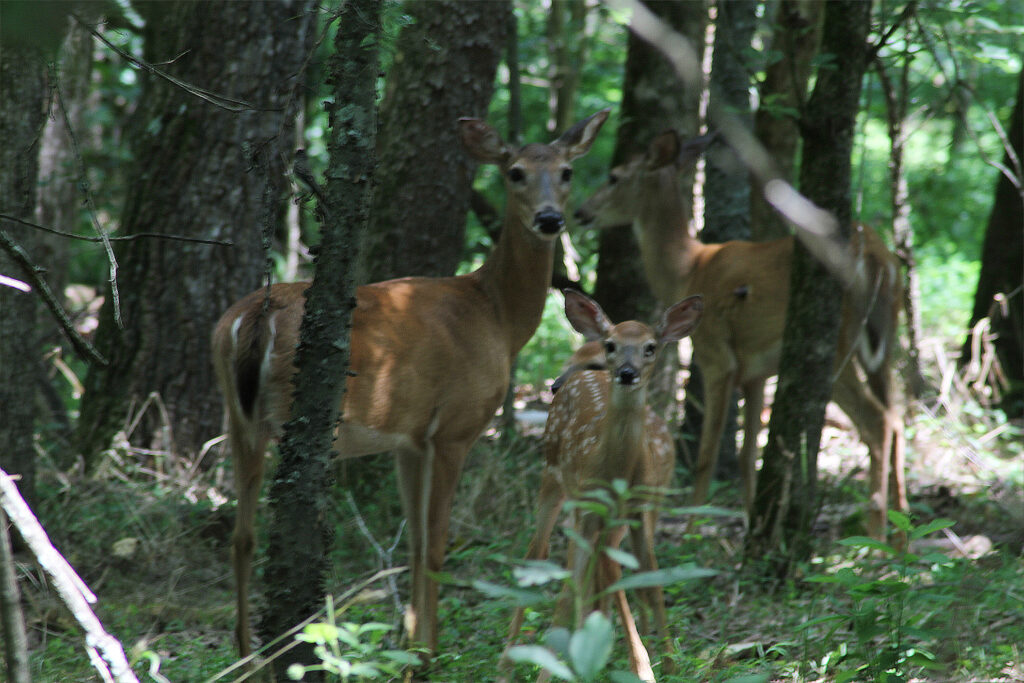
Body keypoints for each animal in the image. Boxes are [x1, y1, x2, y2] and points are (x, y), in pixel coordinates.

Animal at [208, 109, 606, 659]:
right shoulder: (455, 427)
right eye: (515, 172)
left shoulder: (409, 440)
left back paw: (246, 656)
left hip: (236, 415)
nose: (550, 219)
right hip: (288, 414)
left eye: (566, 171)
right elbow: (437, 545)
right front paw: (428, 655)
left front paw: (411, 644)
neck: (497, 317)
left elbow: (415, 543)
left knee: (241, 537)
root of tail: (250, 319)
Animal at [503, 290, 704, 683]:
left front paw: (668, 664)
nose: (626, 373)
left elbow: (648, 579)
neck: (618, 473)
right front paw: (641, 667)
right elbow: (582, 584)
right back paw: (512, 664)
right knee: (540, 555)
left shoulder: (638, 512)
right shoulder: (590, 509)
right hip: (553, 480)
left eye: (651, 347)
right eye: (611, 345)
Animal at [573, 131, 909, 540]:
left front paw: (691, 530)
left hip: (837, 344)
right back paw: (903, 535)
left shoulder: (716, 355)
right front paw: (752, 522)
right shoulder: (757, 372)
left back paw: (875, 536)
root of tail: (878, 259)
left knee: (877, 421)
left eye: (615, 176)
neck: (688, 269)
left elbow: (707, 453)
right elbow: (750, 455)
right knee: (897, 417)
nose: (580, 211)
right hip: (884, 342)